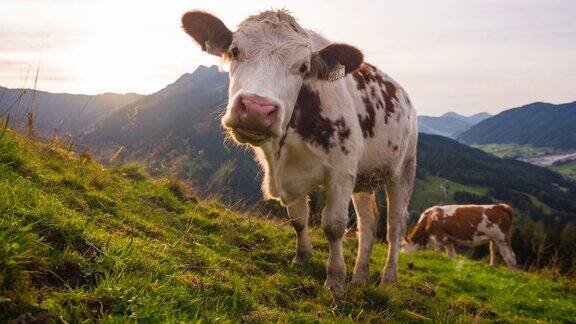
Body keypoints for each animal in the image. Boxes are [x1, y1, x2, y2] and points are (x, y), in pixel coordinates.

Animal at [181, 9, 418, 294]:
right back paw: (360, 277)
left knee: (395, 225)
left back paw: (388, 278)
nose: (257, 109)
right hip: (364, 179)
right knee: (368, 223)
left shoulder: (341, 172)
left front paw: (335, 280)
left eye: (303, 68)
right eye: (235, 51)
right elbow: (298, 219)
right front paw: (302, 258)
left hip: (404, 169)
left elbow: (334, 226)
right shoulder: (288, 173)